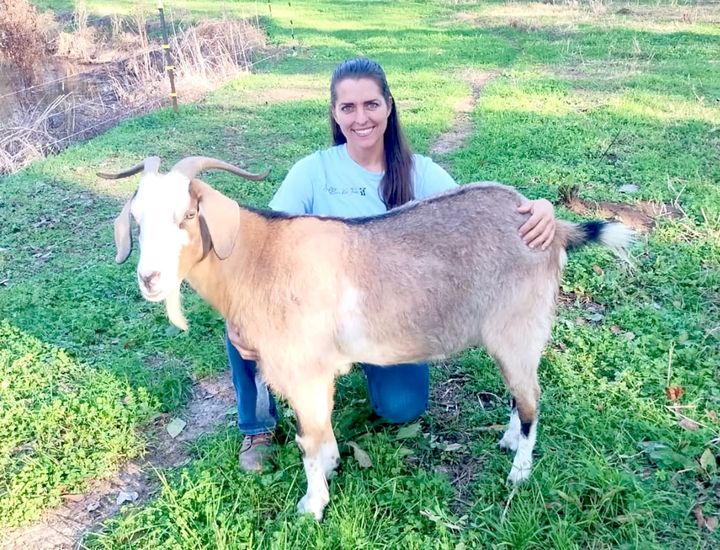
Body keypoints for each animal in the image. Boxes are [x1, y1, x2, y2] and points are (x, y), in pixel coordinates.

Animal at [99, 156, 633, 520]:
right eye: (138, 219)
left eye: (188, 216)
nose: (150, 279)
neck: (260, 258)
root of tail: (552, 226)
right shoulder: (315, 375)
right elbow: (322, 435)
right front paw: (334, 465)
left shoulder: (304, 371)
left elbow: (308, 441)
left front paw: (312, 505)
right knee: (520, 395)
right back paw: (507, 440)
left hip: (518, 328)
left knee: (531, 399)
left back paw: (519, 471)